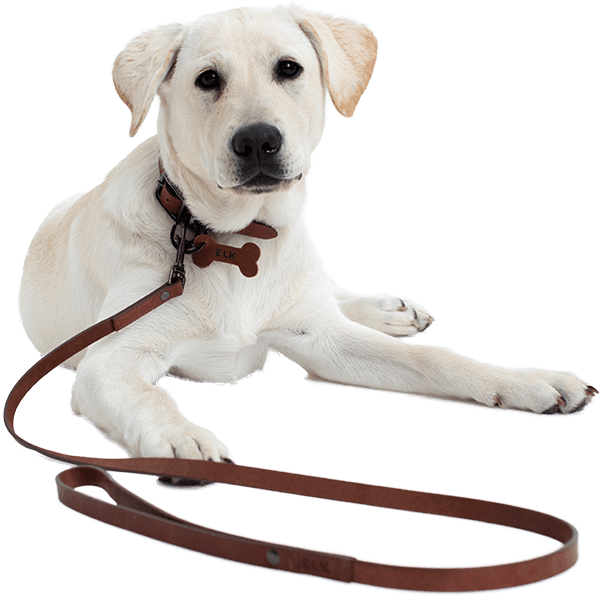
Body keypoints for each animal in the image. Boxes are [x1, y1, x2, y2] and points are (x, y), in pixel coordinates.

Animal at [15, 3, 596, 464]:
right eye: (207, 80)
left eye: (289, 68)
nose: (257, 141)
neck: (234, 241)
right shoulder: (109, 361)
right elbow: (154, 396)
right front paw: (179, 441)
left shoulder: (320, 339)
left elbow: (436, 358)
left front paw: (524, 380)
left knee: (331, 295)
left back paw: (387, 310)